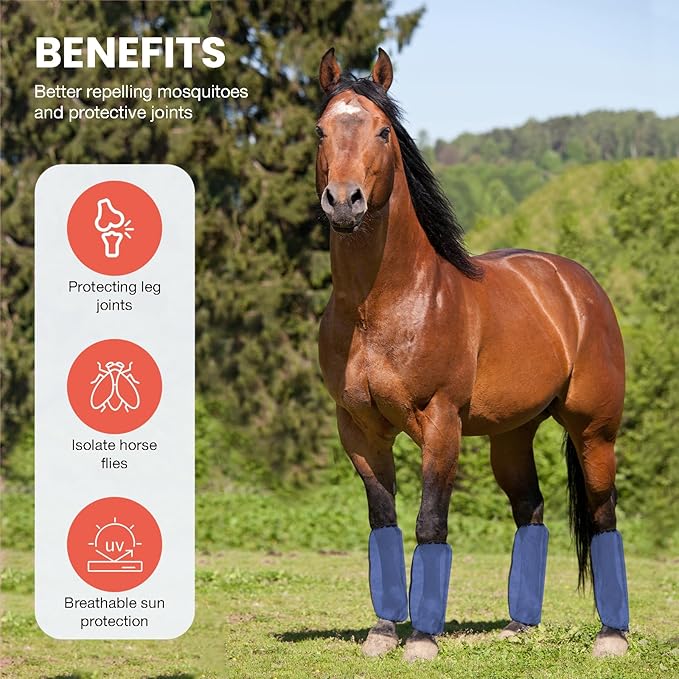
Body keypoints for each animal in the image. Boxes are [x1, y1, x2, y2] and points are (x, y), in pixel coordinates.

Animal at [315, 47, 630, 662]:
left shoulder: (441, 424)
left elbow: (429, 523)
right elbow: (383, 523)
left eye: (383, 131)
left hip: (594, 431)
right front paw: (383, 632)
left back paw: (611, 637)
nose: (344, 202)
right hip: (512, 436)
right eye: (319, 131)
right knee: (531, 511)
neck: (381, 307)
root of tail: (577, 284)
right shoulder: (359, 431)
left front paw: (422, 641)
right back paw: (520, 626)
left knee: (603, 514)